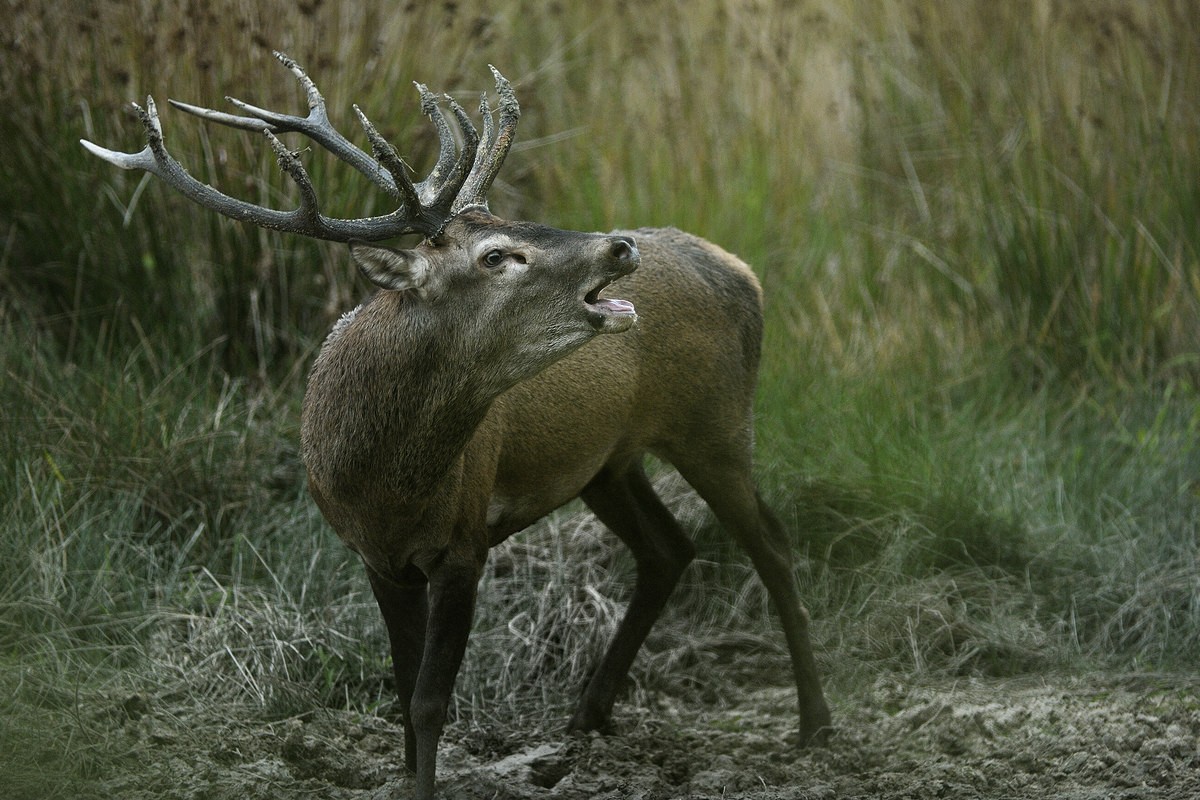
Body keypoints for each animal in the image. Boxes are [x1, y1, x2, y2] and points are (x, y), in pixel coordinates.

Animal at [82, 53, 835, 796]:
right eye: (496, 254)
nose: (620, 248)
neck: (384, 483)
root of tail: (743, 271)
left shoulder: (464, 540)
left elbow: (428, 699)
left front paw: (426, 782)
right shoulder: (375, 556)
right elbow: (401, 684)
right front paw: (405, 773)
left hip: (716, 421)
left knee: (771, 545)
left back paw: (815, 726)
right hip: (610, 463)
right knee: (669, 549)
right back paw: (588, 715)